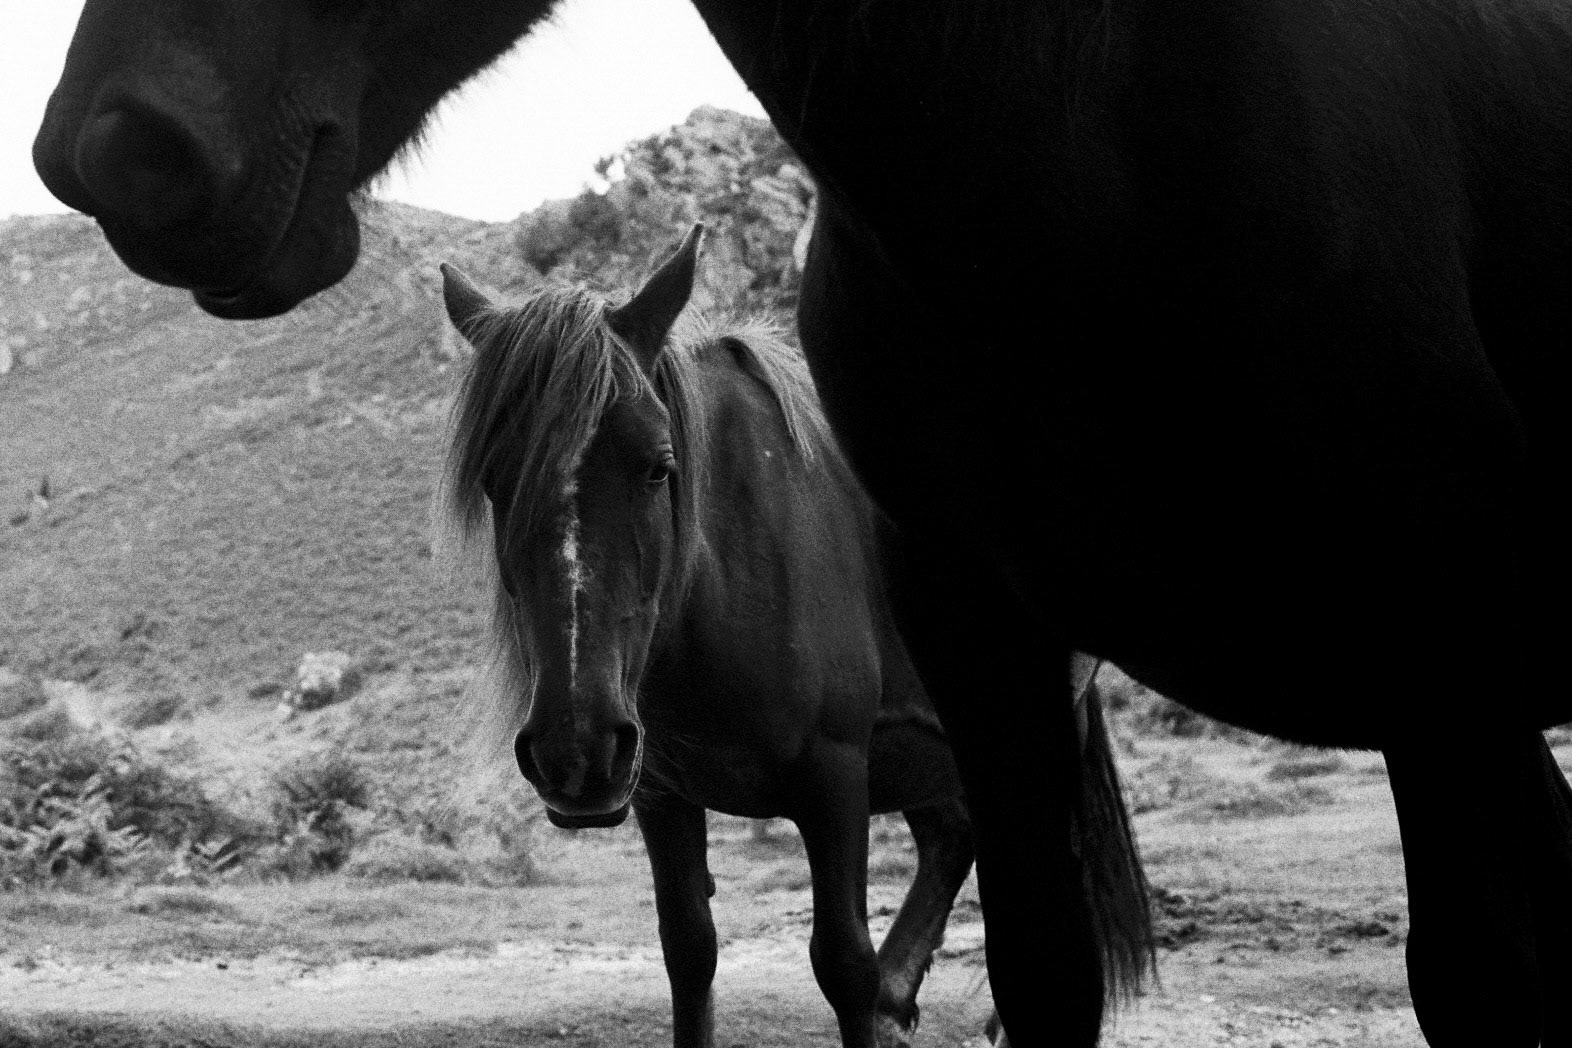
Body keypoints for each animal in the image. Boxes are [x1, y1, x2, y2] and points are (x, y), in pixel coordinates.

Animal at [436, 227, 1152, 1048]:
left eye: (657, 467)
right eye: (494, 480)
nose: (574, 751)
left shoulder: (834, 780)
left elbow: (844, 965)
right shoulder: (660, 794)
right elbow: (689, 952)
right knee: (950, 834)